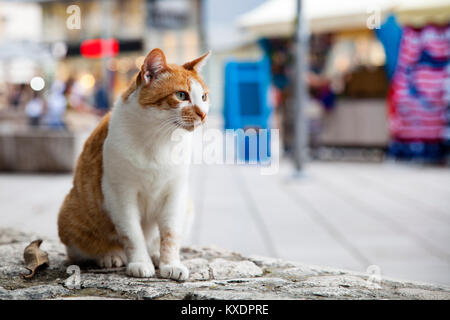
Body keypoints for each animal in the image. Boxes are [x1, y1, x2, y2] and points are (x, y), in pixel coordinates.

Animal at [57, 48, 210, 280]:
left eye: (203, 97)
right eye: (181, 95)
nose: (203, 114)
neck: (159, 140)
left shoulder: (175, 193)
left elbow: (170, 234)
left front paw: (170, 263)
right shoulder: (121, 194)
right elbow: (132, 234)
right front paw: (139, 262)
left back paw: (154, 253)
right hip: (70, 214)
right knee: (79, 252)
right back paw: (110, 255)